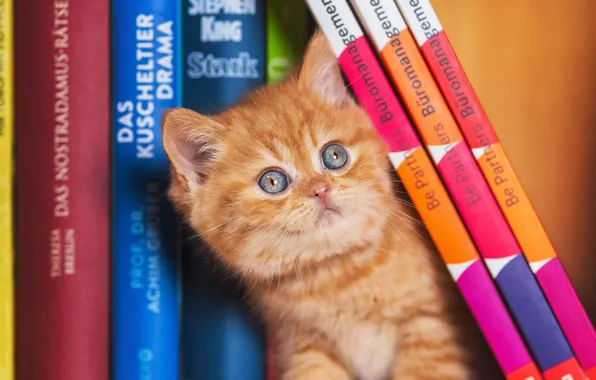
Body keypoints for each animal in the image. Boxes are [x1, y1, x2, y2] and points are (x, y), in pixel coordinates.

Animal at [159, 29, 502, 380]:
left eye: (334, 155)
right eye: (273, 181)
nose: (320, 190)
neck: (336, 277)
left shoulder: (431, 327)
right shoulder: (305, 347)